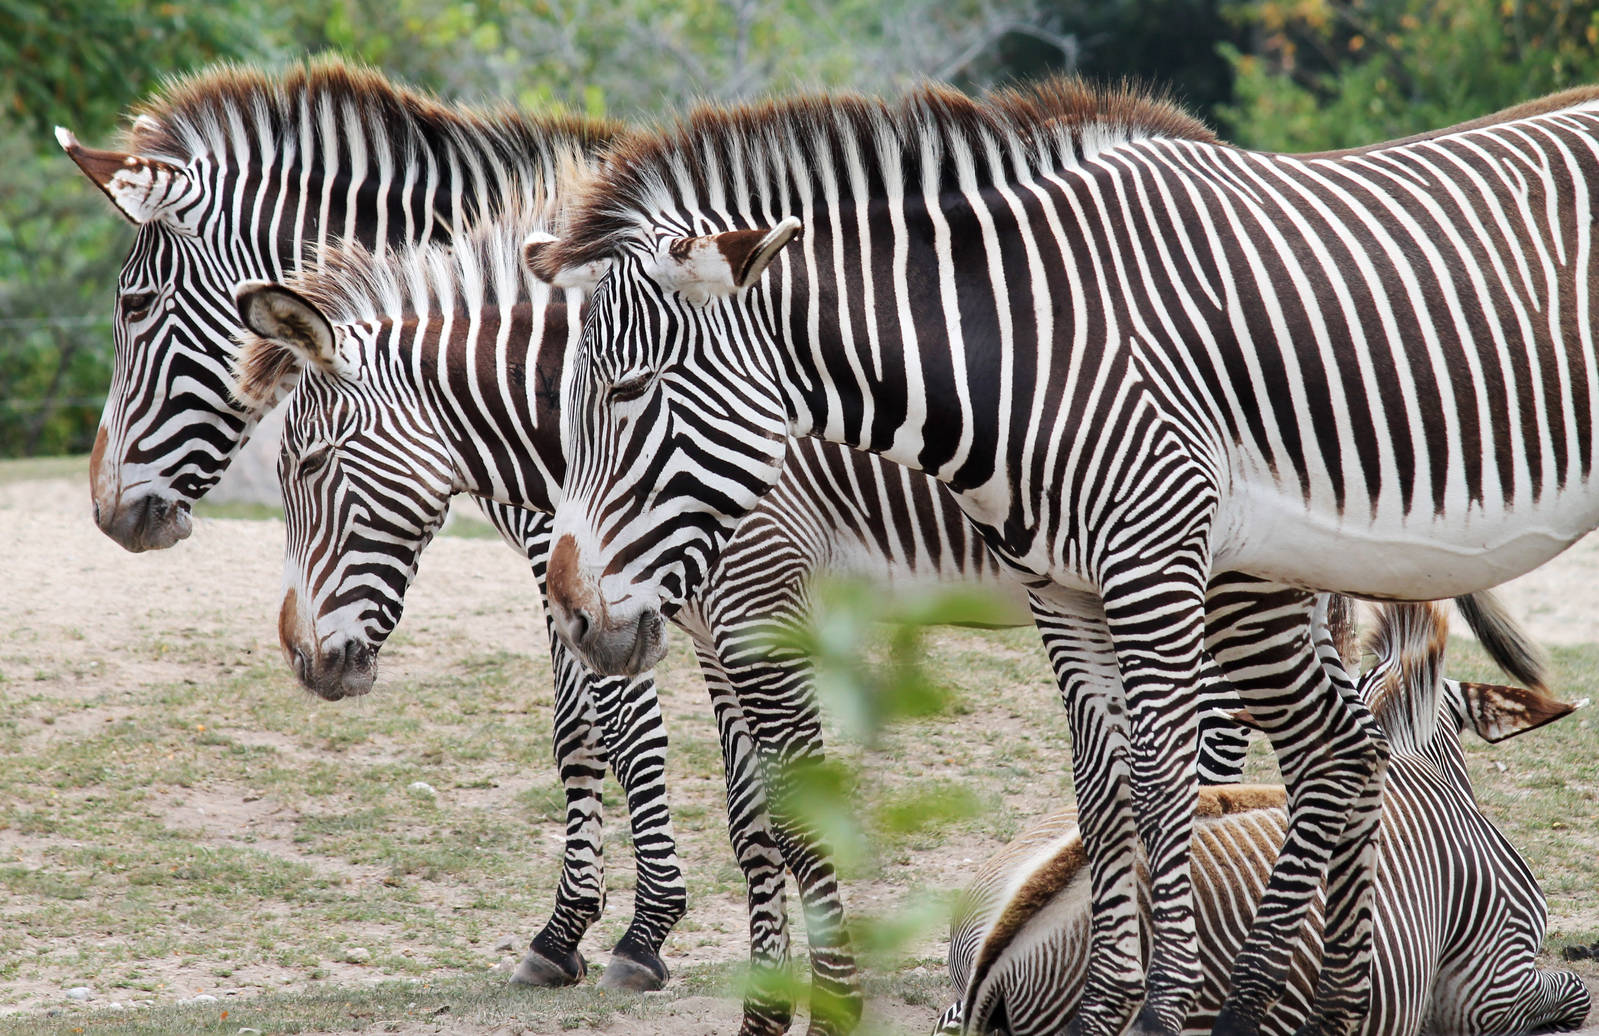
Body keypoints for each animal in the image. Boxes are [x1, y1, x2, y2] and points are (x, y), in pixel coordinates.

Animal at [57, 58, 687, 993]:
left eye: (134, 305)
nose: (106, 513)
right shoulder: (566, 566)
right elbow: (575, 731)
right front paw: (564, 930)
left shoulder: (585, 555)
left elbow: (624, 726)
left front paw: (645, 933)